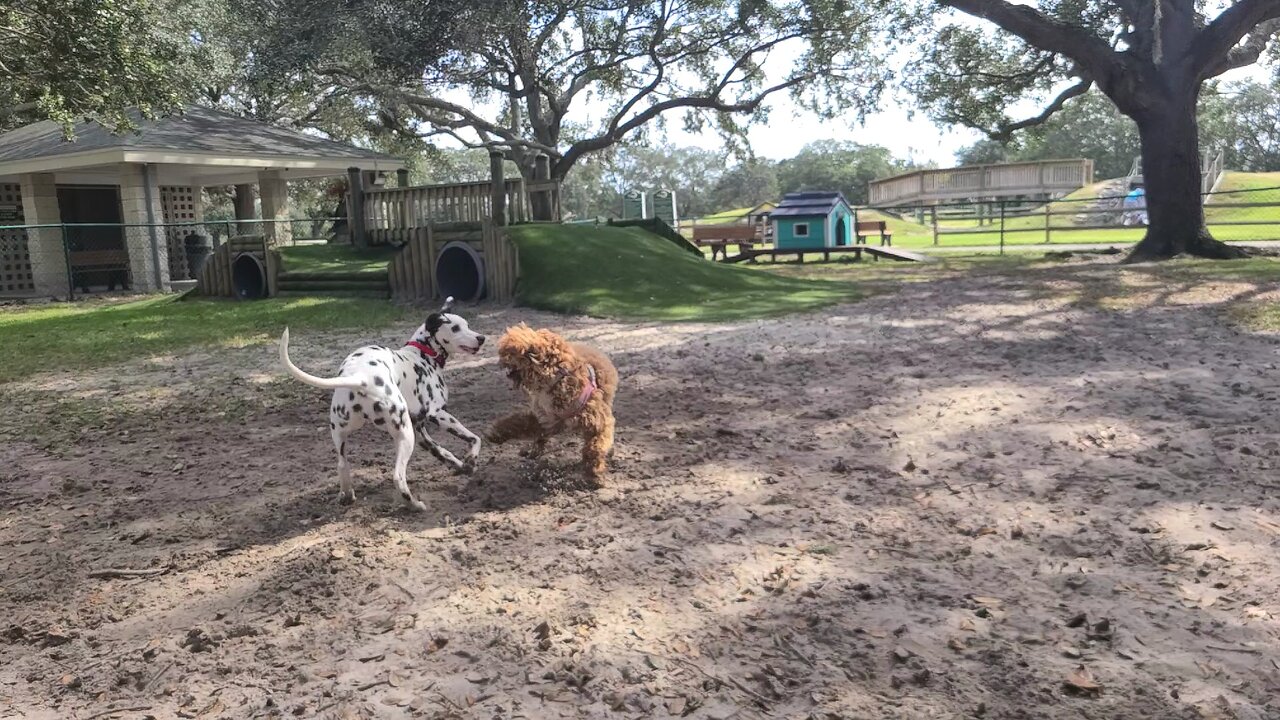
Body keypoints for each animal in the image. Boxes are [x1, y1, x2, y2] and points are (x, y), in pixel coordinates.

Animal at [279, 294, 483, 507]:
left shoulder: (420, 432)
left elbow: (443, 452)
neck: (423, 354)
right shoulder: (438, 414)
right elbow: (474, 437)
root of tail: (361, 377)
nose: (481, 338)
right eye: (455, 328)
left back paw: (347, 495)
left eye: (467, 325)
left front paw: (464, 467)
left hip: (343, 435)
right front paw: (471, 459)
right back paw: (415, 505)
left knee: (342, 465)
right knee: (398, 477)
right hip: (405, 437)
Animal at [483, 325, 619, 481]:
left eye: (511, 351)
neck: (556, 380)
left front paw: (594, 472)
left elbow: (595, 447)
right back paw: (532, 451)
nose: (498, 361)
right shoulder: (546, 419)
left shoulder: (599, 422)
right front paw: (495, 433)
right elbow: (518, 423)